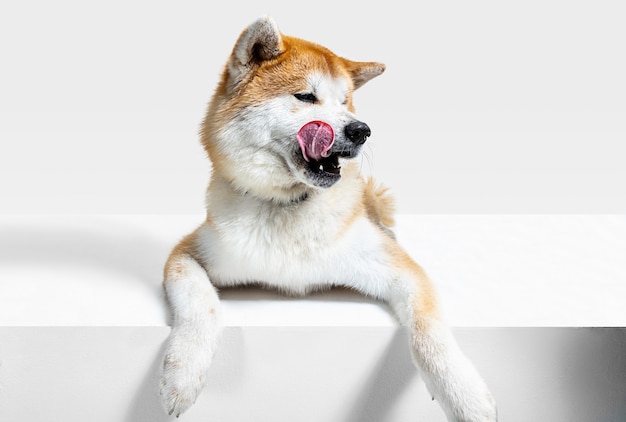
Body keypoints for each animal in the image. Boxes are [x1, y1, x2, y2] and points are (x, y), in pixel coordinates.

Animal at [161, 16, 498, 422]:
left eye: (346, 101)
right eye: (306, 97)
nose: (361, 130)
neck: (288, 205)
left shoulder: (398, 268)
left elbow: (429, 332)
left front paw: (466, 397)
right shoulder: (188, 252)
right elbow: (202, 305)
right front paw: (183, 375)